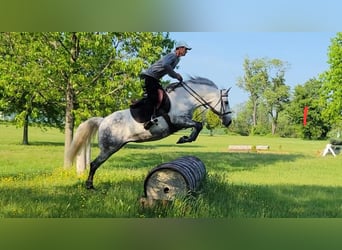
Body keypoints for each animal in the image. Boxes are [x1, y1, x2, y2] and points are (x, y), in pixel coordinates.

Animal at [65, 77, 232, 188]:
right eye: (226, 102)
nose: (229, 121)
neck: (185, 99)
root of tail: (103, 120)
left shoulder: (182, 122)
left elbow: (198, 126)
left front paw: (186, 138)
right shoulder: (178, 120)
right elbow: (198, 125)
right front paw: (185, 139)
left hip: (114, 147)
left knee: (95, 164)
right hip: (109, 148)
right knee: (94, 164)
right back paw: (89, 186)